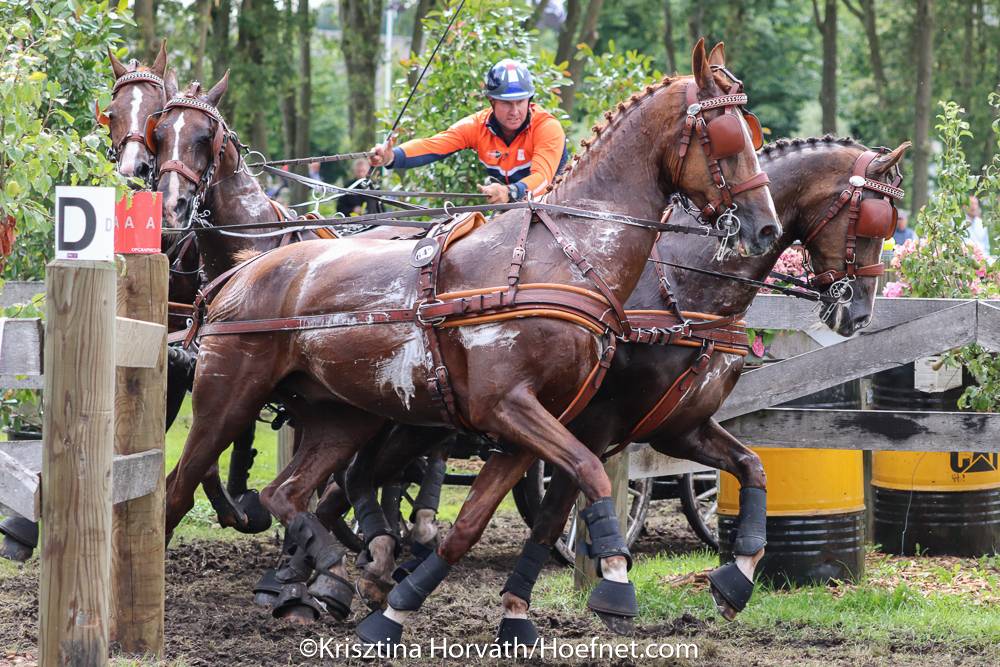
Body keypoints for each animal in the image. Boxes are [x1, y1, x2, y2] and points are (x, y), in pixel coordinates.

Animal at [158, 39, 780, 640]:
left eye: (753, 133)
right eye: (725, 134)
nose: (765, 227)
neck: (566, 254)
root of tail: (241, 269)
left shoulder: (529, 428)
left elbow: (471, 525)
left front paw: (399, 611)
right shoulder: (513, 409)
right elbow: (591, 472)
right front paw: (614, 582)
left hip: (344, 416)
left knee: (287, 493)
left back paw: (336, 565)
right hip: (227, 399)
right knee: (179, 489)